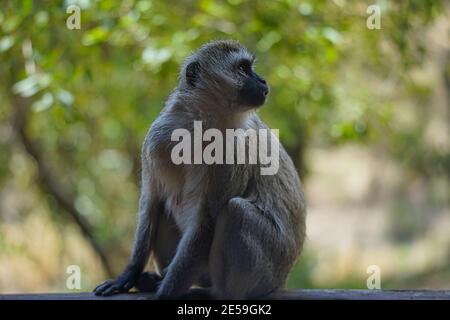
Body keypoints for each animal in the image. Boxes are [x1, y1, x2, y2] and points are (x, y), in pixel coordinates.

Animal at [94, 40, 306, 300]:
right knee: (167, 204)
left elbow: (206, 222)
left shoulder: (230, 153)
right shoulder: (157, 139)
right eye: (243, 69)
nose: (263, 80)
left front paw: (164, 295)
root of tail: (282, 280)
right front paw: (129, 274)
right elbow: (151, 201)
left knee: (237, 211)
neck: (200, 125)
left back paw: (217, 293)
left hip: (266, 274)